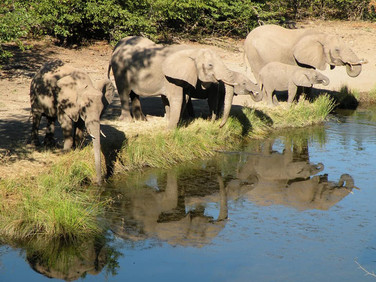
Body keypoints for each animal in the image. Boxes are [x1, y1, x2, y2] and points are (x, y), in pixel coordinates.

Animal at [108, 35, 244, 129]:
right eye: (210, 65)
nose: (219, 126)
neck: (193, 51)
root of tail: (116, 47)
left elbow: (185, 97)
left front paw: (174, 123)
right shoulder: (171, 77)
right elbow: (177, 98)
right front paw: (169, 129)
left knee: (134, 94)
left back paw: (142, 120)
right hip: (120, 69)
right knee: (124, 92)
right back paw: (128, 121)